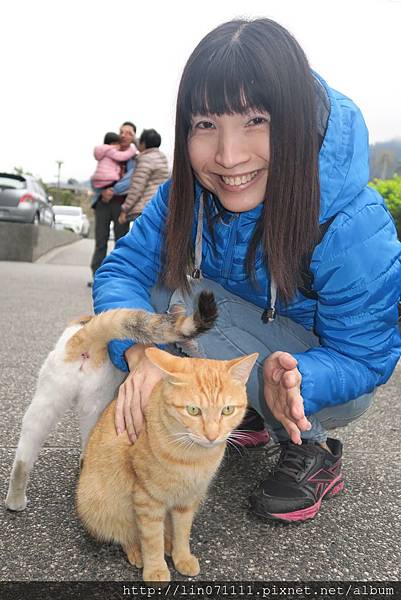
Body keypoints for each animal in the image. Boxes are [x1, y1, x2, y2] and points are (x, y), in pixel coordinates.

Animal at [76, 346, 256, 580]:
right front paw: (155, 569)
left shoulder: (187, 501)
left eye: (227, 410)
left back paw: (168, 545)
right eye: (193, 410)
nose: (212, 436)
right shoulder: (147, 500)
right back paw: (136, 551)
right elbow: (152, 540)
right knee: (124, 534)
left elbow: (182, 532)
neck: (192, 456)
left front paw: (182, 557)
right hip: (97, 505)